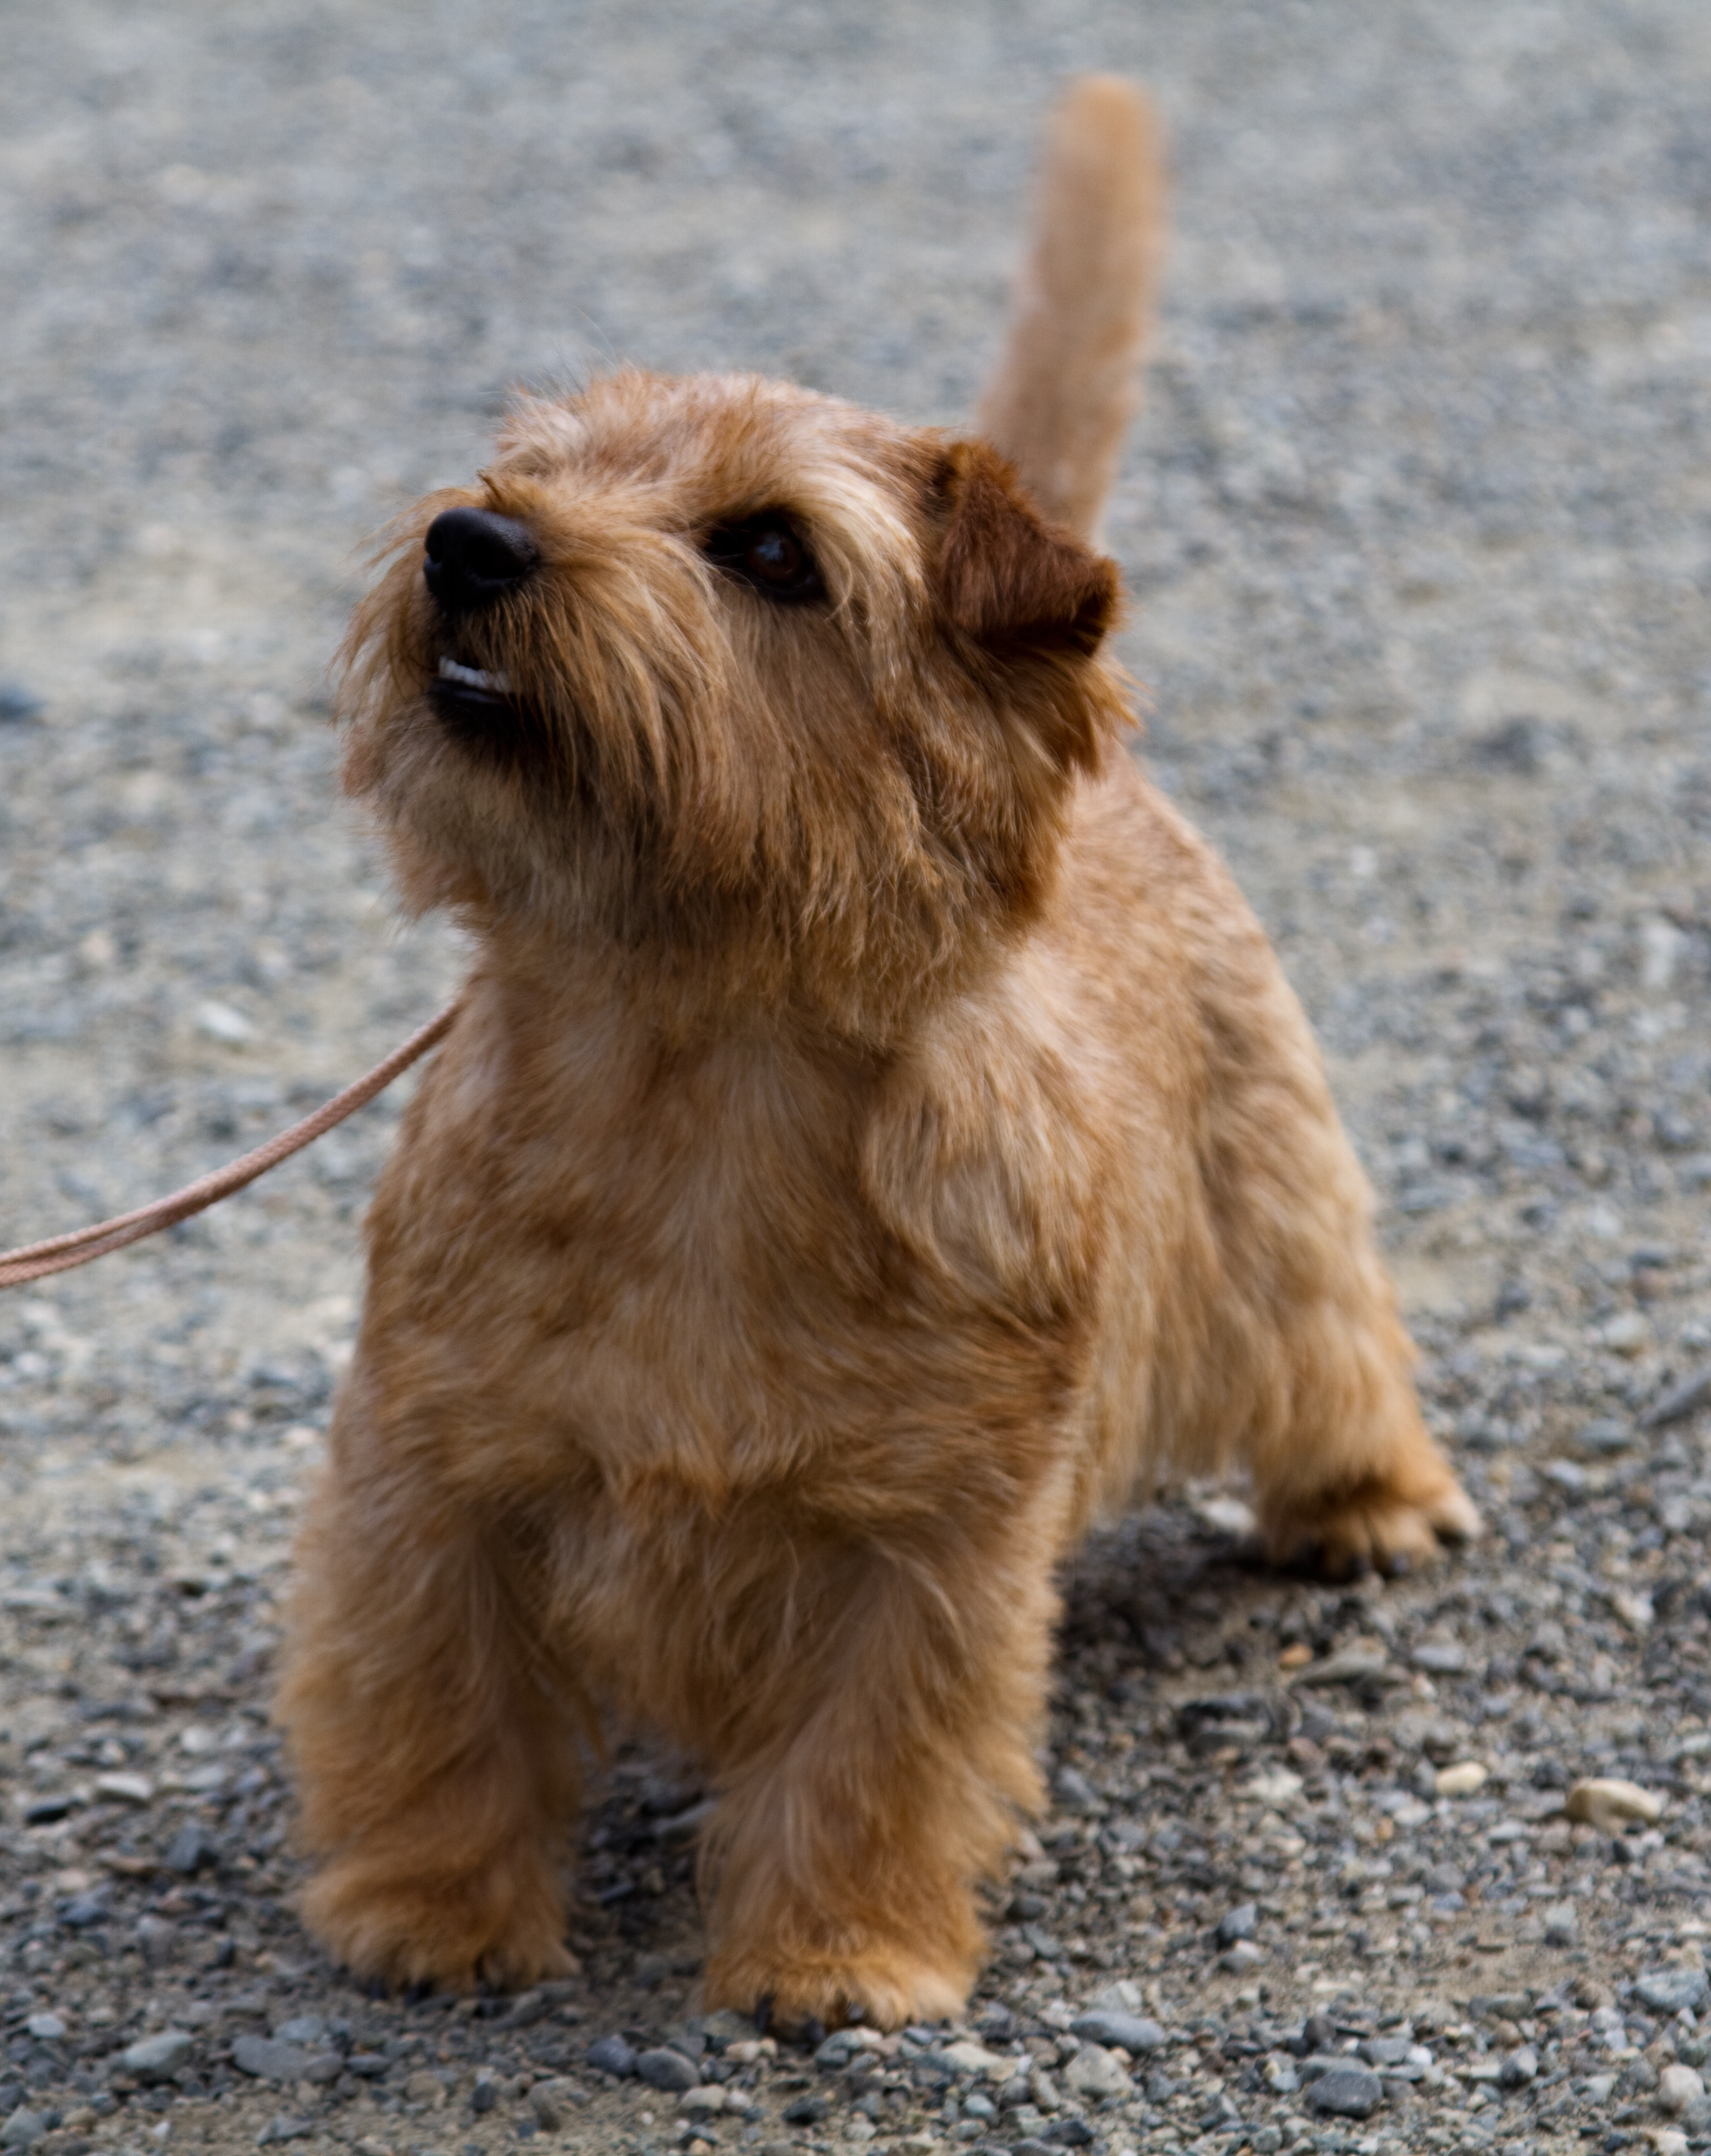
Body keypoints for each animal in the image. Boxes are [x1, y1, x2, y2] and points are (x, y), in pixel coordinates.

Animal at [276, 75, 1467, 2026]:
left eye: (768, 548)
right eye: (531, 462)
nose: (471, 537)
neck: (687, 1079)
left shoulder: (930, 1543)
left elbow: (874, 1752)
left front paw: (836, 1954)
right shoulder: (429, 1470)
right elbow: (430, 1698)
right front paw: (428, 1912)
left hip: (1269, 1191)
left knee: (1327, 1333)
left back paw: (1372, 1503)